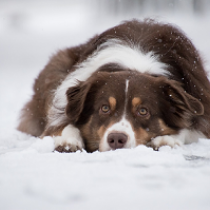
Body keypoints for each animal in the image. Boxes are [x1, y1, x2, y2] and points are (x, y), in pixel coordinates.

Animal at [17, 18, 210, 152]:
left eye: (143, 111)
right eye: (104, 108)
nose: (116, 139)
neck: (134, 65)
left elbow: (189, 126)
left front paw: (167, 139)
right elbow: (61, 123)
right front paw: (67, 140)